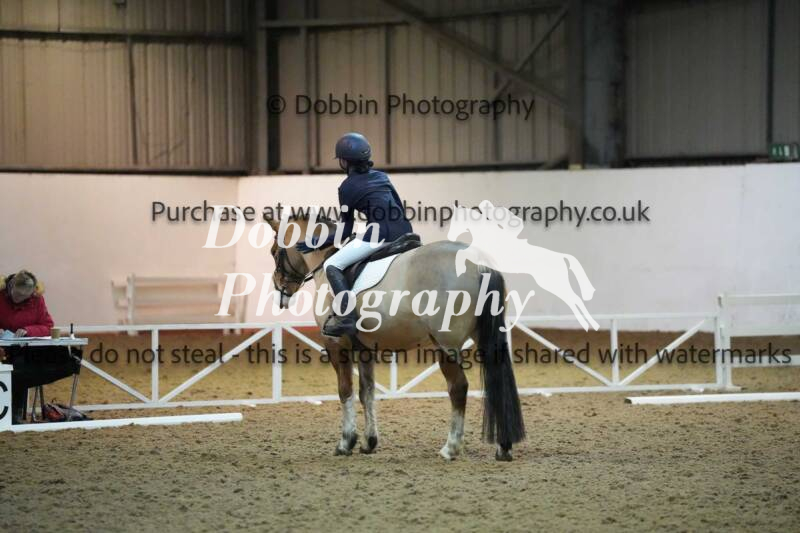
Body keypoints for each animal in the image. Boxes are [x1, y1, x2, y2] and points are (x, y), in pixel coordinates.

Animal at [266, 216, 526, 461]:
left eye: (274, 252)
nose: (280, 292)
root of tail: (479, 264)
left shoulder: (336, 345)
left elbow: (345, 390)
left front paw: (346, 442)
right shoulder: (364, 348)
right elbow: (366, 392)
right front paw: (369, 442)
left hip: (445, 344)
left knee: (458, 388)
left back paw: (450, 448)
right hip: (484, 338)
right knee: (495, 382)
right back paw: (503, 448)